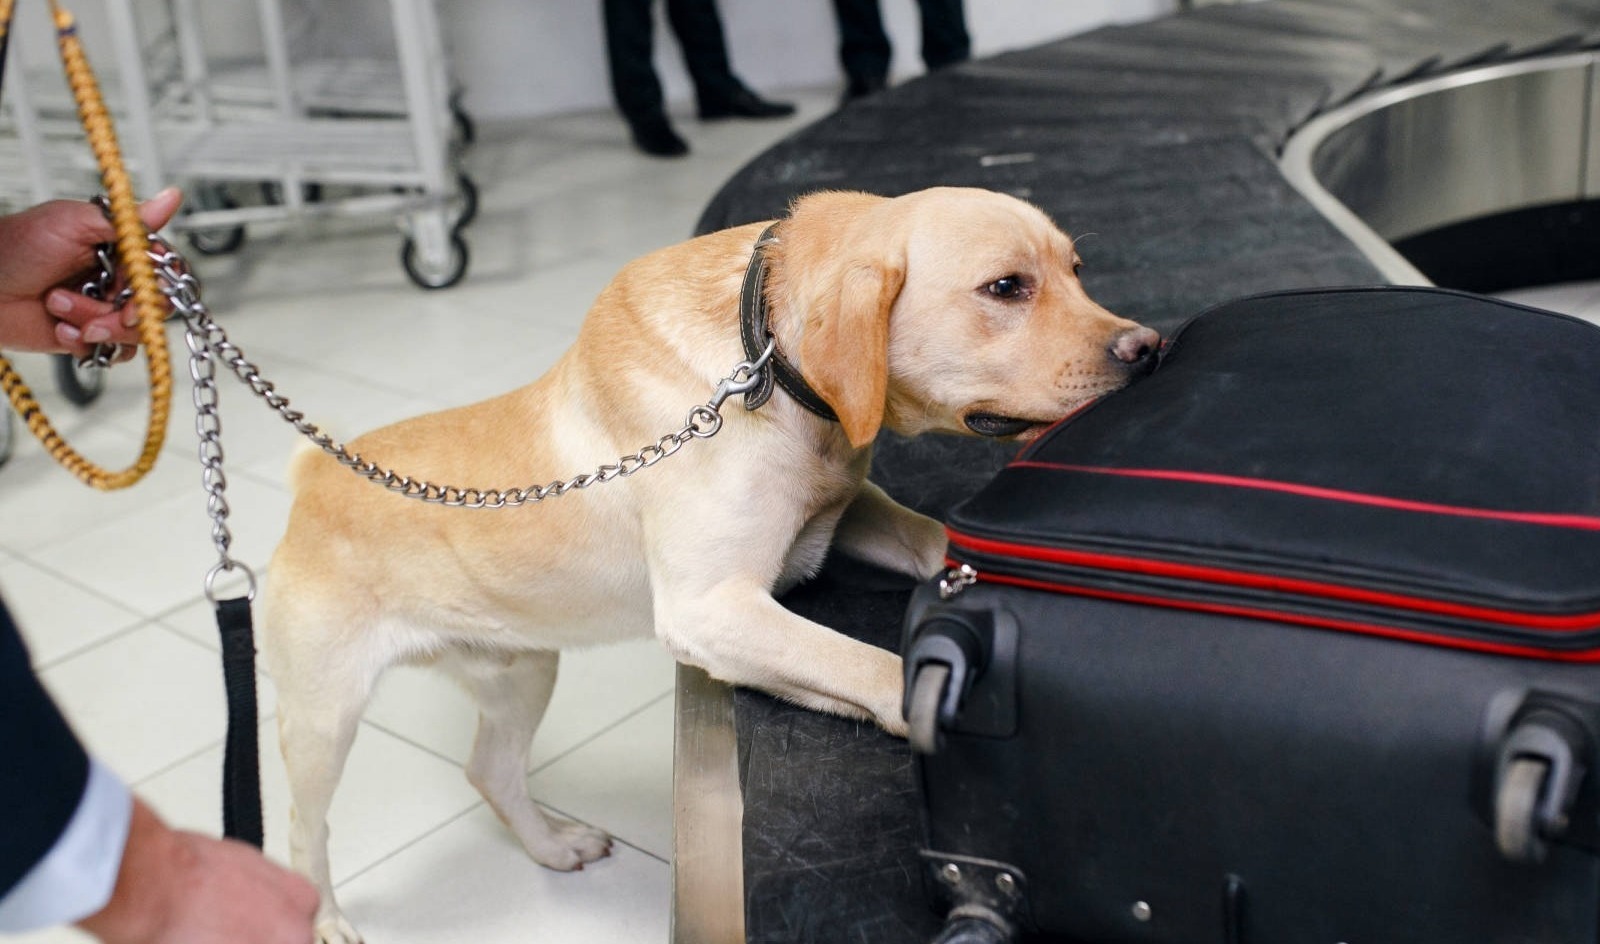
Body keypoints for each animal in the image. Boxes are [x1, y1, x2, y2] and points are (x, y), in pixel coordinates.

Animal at [265, 184, 1164, 940]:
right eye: (1007, 288)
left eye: (1076, 270)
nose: (1150, 348)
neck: (762, 359)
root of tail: (312, 476)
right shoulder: (712, 611)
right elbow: (864, 663)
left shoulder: (846, 516)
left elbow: (928, 540)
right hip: (323, 719)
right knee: (306, 831)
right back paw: (325, 919)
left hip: (522, 673)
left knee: (489, 771)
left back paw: (552, 847)